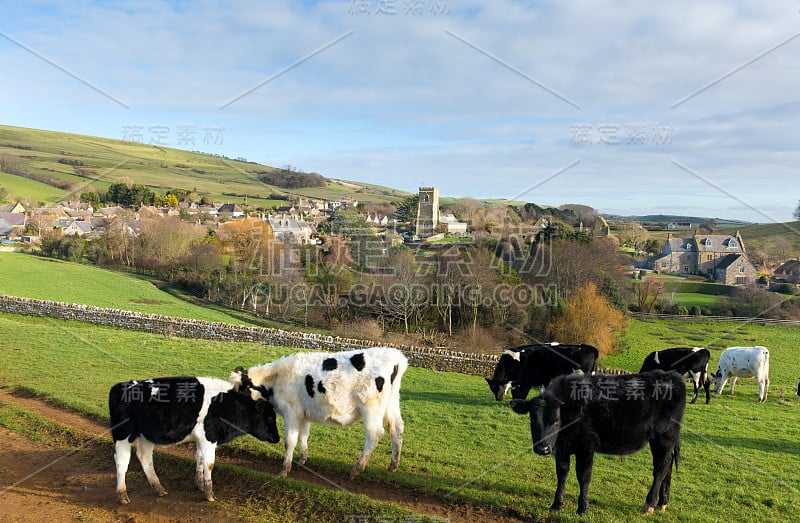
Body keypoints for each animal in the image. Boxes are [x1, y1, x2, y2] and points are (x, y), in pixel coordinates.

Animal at [109, 376, 278, 504]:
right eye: (270, 417)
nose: (277, 438)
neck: (224, 404)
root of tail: (120, 386)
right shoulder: (209, 438)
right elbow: (209, 464)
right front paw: (209, 494)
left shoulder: (201, 439)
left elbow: (199, 458)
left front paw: (200, 484)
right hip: (123, 434)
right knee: (121, 461)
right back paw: (122, 494)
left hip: (146, 437)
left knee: (145, 458)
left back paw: (159, 488)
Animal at [230, 346, 406, 482]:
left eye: (239, 392)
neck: (277, 377)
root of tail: (394, 355)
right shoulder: (304, 413)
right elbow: (303, 435)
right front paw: (302, 459)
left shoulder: (291, 412)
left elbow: (290, 441)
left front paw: (285, 469)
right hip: (392, 403)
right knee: (396, 428)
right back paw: (393, 465)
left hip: (371, 408)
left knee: (374, 434)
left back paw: (356, 470)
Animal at [510, 370, 684, 516]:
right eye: (532, 418)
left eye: (556, 421)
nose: (543, 448)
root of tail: (671, 375)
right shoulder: (562, 449)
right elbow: (562, 474)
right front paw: (556, 504)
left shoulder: (587, 446)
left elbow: (583, 476)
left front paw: (582, 508)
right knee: (667, 465)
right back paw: (662, 503)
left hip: (664, 438)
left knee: (661, 467)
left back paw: (649, 504)